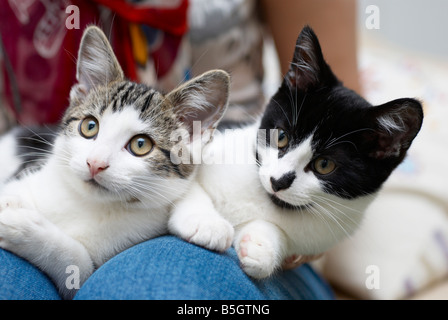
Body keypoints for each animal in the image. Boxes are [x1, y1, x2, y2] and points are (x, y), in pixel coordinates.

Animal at [0, 26, 229, 298]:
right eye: (89, 126)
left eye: (140, 145)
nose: (95, 163)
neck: (88, 204)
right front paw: (11, 204)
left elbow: (77, 262)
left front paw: (17, 224)